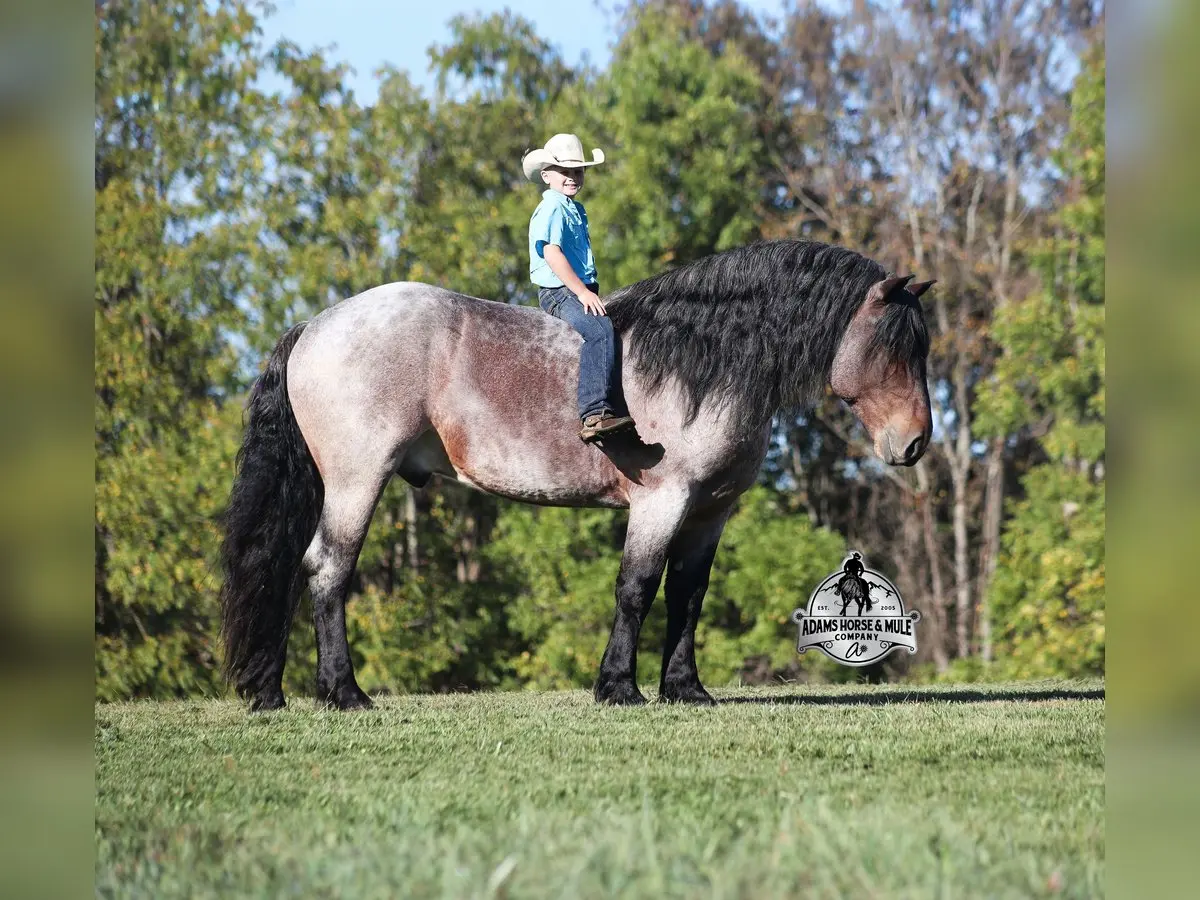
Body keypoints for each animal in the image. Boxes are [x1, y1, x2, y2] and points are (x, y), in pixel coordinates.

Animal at [219, 240, 933, 711]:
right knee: (327, 570)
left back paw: (274, 692)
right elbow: (637, 589)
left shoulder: (710, 511)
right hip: (356, 482)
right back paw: (343, 693)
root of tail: (315, 325)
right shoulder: (662, 502)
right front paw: (619, 688)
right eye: (896, 348)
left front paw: (686, 689)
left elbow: (688, 595)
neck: (699, 364)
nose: (916, 442)